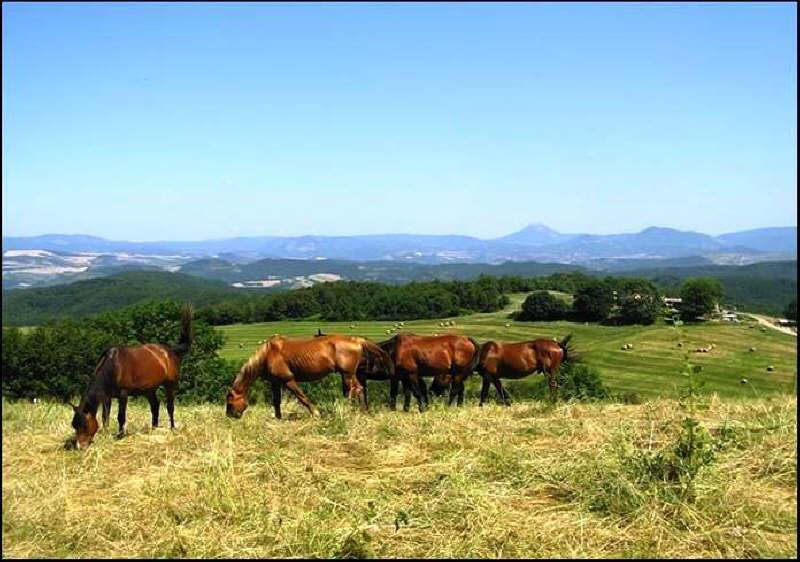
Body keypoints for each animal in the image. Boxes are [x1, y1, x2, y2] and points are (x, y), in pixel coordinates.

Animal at [67, 304, 194, 448]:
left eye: (84, 425)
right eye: (74, 425)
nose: (79, 446)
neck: (113, 366)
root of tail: (170, 351)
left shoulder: (123, 394)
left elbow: (120, 416)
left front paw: (120, 435)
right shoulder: (107, 397)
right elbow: (105, 416)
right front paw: (105, 433)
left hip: (170, 385)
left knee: (170, 407)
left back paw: (172, 428)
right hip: (149, 390)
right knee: (155, 406)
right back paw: (154, 428)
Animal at [225, 332, 394, 416]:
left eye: (230, 403)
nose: (230, 416)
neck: (268, 354)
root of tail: (357, 340)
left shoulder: (288, 380)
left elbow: (302, 397)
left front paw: (316, 413)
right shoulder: (276, 382)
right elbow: (276, 402)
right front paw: (278, 419)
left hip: (347, 374)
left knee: (355, 390)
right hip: (348, 374)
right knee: (357, 389)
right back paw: (362, 411)